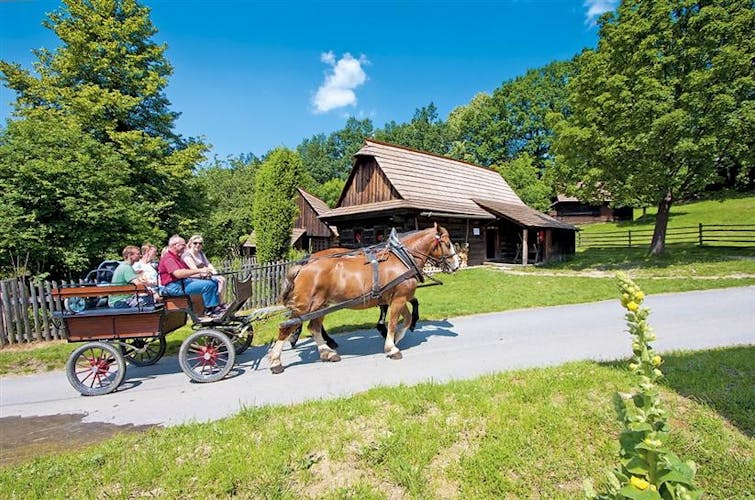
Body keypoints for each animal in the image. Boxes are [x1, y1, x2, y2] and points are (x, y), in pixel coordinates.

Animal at [272, 224, 460, 376]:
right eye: (447, 243)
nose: (456, 265)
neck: (402, 258)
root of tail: (303, 266)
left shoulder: (397, 298)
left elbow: (405, 320)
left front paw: (397, 338)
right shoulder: (399, 299)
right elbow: (393, 322)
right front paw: (391, 348)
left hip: (320, 305)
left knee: (314, 327)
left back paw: (328, 352)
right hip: (305, 306)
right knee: (286, 328)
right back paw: (276, 361)